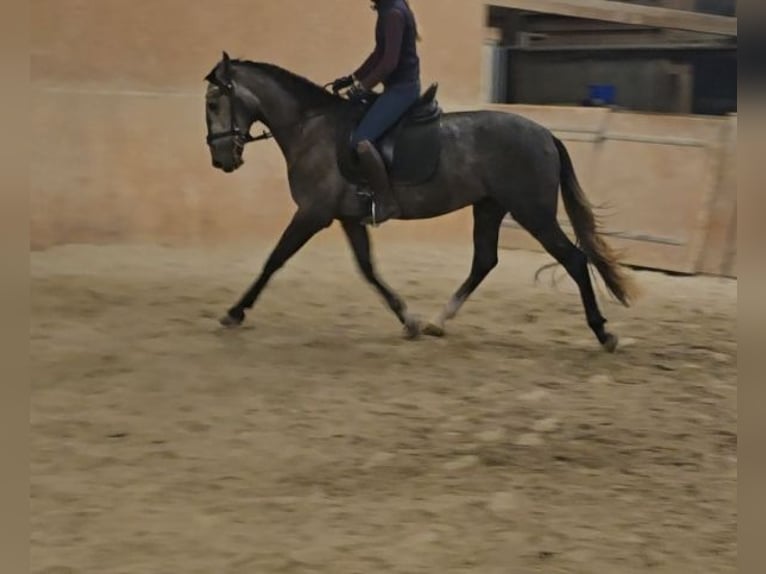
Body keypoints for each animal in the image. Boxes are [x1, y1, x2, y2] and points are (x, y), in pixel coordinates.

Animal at [202, 51, 636, 354]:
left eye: (213, 104)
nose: (222, 161)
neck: (311, 128)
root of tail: (546, 134)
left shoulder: (313, 213)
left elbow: (274, 259)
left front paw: (235, 311)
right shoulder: (347, 218)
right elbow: (368, 268)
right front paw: (408, 319)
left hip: (532, 211)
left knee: (574, 259)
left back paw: (603, 332)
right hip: (490, 207)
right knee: (484, 261)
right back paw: (437, 321)